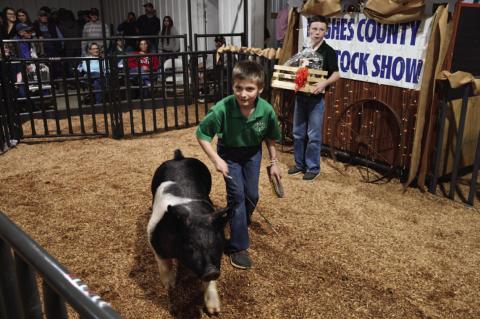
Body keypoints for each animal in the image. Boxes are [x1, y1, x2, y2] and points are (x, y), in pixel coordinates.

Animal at [147, 150, 232, 316]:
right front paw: (169, 286)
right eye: (189, 244)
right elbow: (165, 264)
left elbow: (209, 283)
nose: (211, 271)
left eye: (214, 243)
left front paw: (214, 311)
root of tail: (179, 158)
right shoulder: (153, 238)